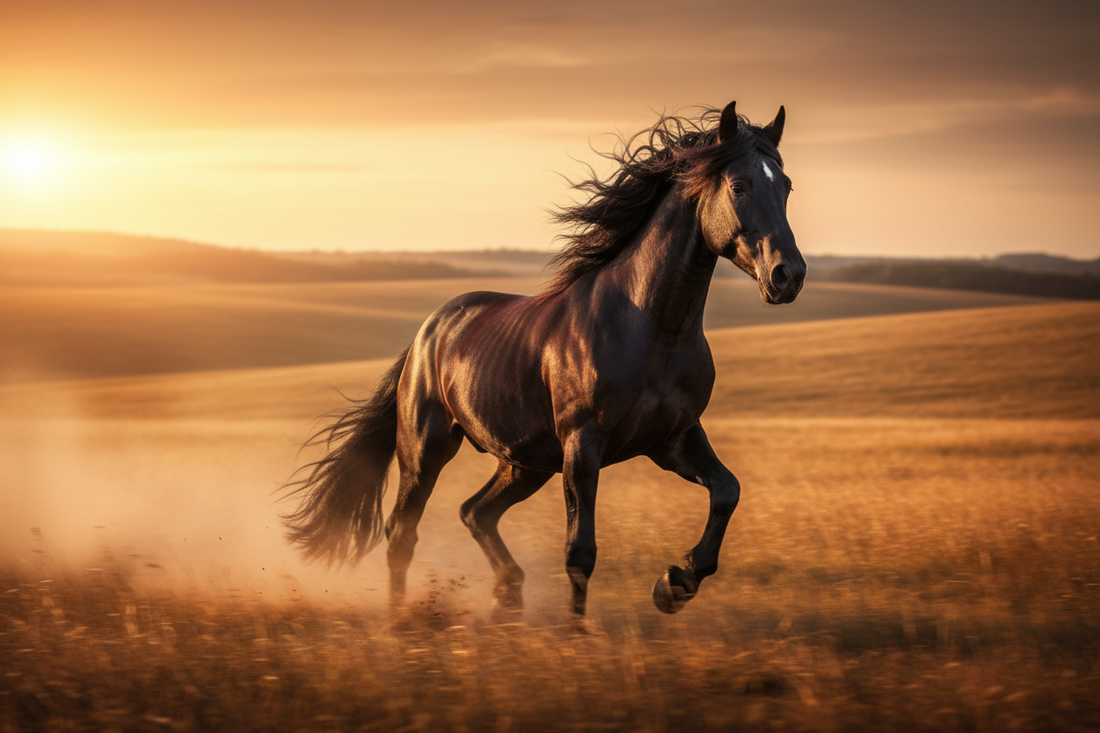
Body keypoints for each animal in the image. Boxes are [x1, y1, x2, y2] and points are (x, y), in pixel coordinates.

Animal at [282, 101, 805, 617]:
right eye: (739, 185)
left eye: (786, 185)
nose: (789, 275)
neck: (651, 330)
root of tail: (428, 333)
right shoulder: (582, 445)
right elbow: (580, 552)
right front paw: (581, 634)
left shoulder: (673, 439)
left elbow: (727, 491)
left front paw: (674, 584)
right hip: (426, 452)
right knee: (402, 533)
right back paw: (401, 620)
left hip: (524, 464)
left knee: (474, 512)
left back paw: (508, 595)